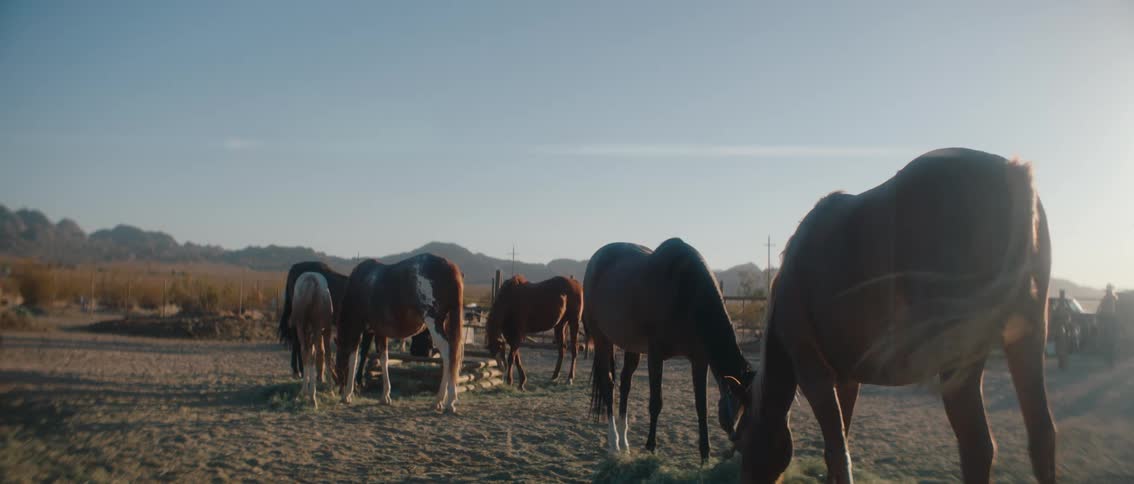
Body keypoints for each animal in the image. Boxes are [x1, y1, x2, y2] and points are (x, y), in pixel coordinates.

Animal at [289, 272, 335, 409]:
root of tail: (310, 281)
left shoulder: (308, 333)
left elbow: (309, 353)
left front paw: (306, 391)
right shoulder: (326, 330)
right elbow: (326, 354)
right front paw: (330, 389)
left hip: (301, 328)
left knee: (305, 352)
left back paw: (304, 393)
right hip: (317, 328)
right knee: (315, 354)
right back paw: (313, 397)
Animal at [335, 254, 465, 412]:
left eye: (337, 365)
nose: (339, 390)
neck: (360, 283)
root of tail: (450, 267)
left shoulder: (358, 329)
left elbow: (354, 358)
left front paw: (347, 395)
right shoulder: (379, 331)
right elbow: (384, 359)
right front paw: (385, 396)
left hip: (434, 323)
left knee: (448, 354)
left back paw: (445, 401)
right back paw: (442, 400)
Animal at [584, 238, 756, 463]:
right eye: (739, 406)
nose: (739, 445)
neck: (684, 292)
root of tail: (595, 260)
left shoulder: (699, 360)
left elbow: (701, 406)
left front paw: (705, 456)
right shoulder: (655, 355)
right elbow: (656, 403)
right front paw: (651, 447)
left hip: (632, 347)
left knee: (625, 384)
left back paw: (625, 444)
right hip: (602, 339)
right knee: (608, 384)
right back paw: (614, 443)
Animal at [737, 148, 1055, 484]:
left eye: (742, 440)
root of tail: (1012, 173)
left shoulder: (814, 375)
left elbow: (837, 452)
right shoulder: (846, 379)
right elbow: (838, 443)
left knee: (978, 446)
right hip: (1027, 340)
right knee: (1042, 438)